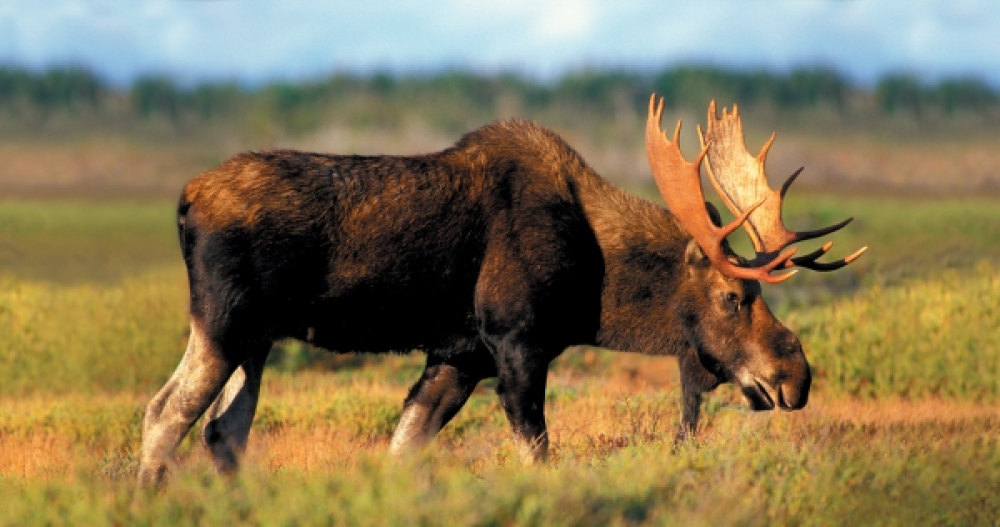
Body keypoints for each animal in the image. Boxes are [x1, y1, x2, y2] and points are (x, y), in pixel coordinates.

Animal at [137, 96, 864, 486]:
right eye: (734, 297)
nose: (795, 375)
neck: (597, 280)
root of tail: (184, 199)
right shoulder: (518, 344)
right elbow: (537, 453)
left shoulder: (459, 357)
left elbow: (404, 447)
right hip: (222, 323)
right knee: (164, 413)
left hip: (257, 339)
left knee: (223, 430)